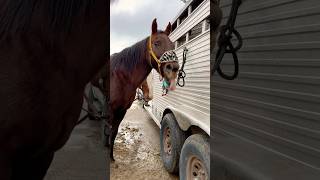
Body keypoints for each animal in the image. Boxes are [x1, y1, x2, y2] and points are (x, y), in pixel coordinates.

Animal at [105, 19, 180, 161]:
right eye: (156, 43)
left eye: (173, 45)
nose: (173, 69)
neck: (118, 77)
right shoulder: (110, 110)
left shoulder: (122, 110)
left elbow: (113, 132)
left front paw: (111, 156)